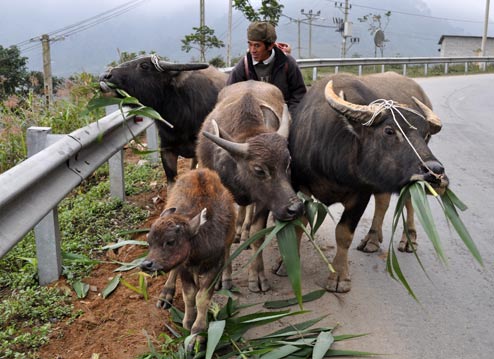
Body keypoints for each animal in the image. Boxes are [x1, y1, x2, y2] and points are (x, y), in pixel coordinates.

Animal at [140, 169, 236, 352]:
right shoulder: (184, 267)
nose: (146, 264)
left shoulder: (215, 265)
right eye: (149, 241)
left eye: (170, 241)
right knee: (174, 272)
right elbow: (189, 295)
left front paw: (197, 334)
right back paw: (166, 294)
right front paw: (187, 323)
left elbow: (202, 298)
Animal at [197, 80, 304, 294]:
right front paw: (223, 277)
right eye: (259, 170)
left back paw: (244, 230)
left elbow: (258, 234)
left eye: (288, 163)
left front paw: (257, 276)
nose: (295, 208)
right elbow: (226, 237)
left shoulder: (264, 201)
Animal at [290, 71, 448, 294]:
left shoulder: (361, 193)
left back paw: (408, 239)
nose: (437, 173)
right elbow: (299, 226)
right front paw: (284, 265)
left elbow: (344, 233)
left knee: (408, 200)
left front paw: (339, 277)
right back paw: (372, 239)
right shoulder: (299, 185)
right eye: (389, 131)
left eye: (425, 134)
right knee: (383, 202)